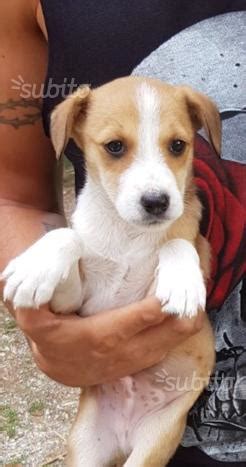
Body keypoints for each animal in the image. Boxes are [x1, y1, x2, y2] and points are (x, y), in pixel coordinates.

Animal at [1, 78, 219, 466]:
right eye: (115, 147)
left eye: (177, 145)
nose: (157, 202)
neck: (127, 234)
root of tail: (124, 437)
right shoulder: (73, 305)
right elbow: (69, 235)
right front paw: (35, 267)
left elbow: (177, 243)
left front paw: (182, 283)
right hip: (85, 448)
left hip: (154, 443)